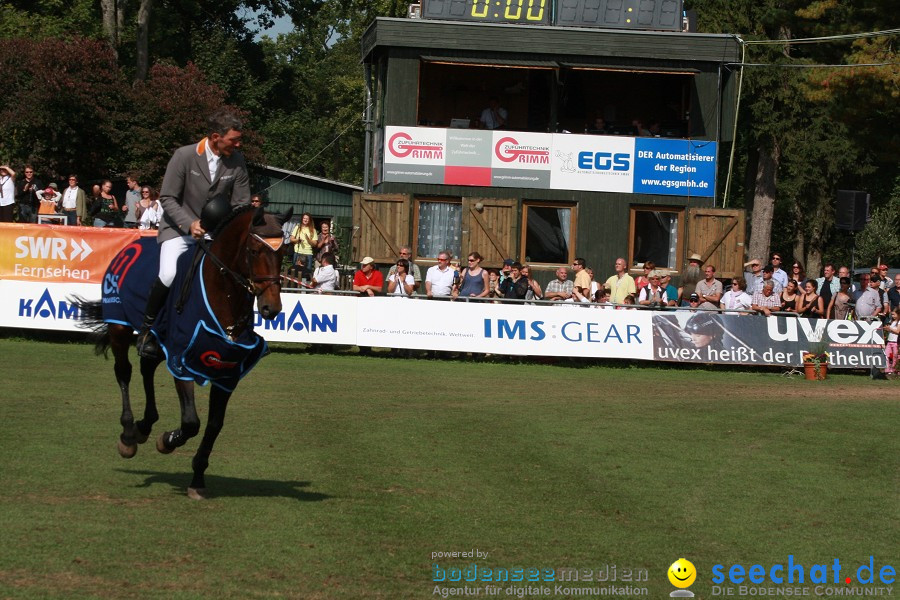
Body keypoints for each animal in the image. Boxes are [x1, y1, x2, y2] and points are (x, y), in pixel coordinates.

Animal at [76, 204, 292, 500]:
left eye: (283, 253)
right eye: (254, 251)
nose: (272, 308)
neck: (223, 296)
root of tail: (131, 245)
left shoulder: (228, 374)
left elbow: (214, 425)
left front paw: (198, 478)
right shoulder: (182, 361)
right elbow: (191, 422)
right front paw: (166, 441)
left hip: (157, 338)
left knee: (147, 365)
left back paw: (144, 425)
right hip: (119, 325)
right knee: (124, 372)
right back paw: (129, 435)